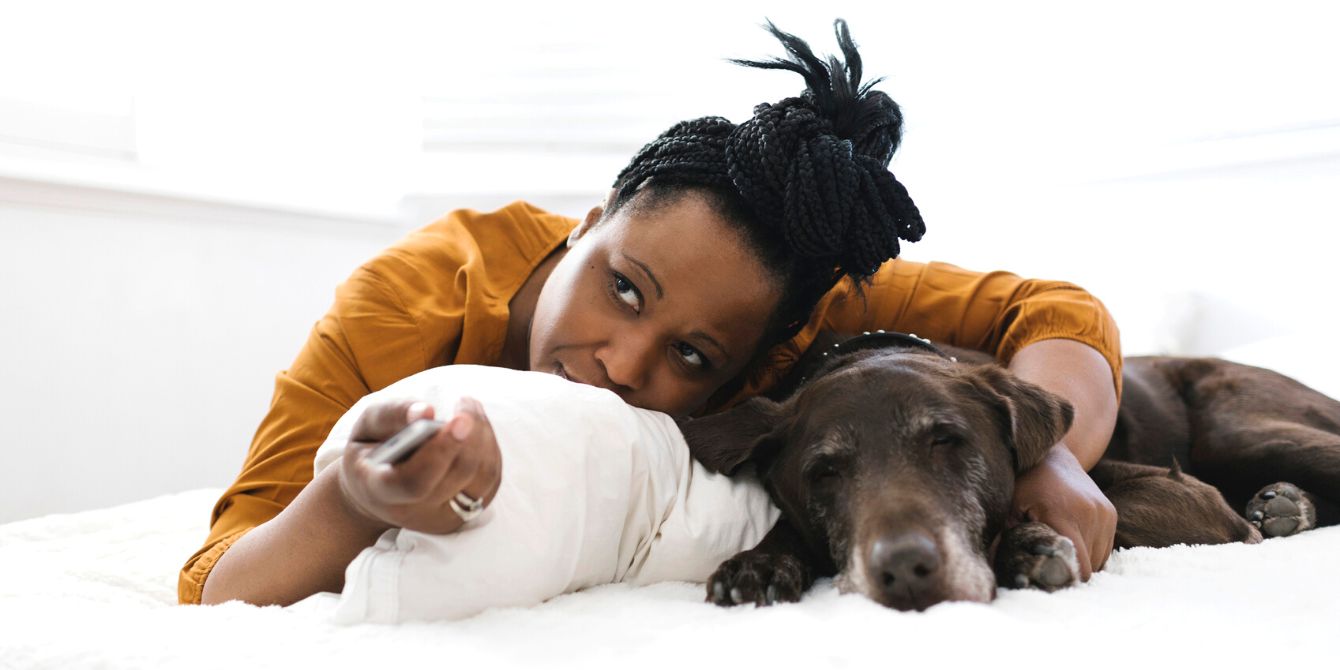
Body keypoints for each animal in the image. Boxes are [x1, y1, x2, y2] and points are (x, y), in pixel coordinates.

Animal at [686, 330, 1334, 613]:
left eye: (947, 440)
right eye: (824, 472)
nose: (906, 572)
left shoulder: (1187, 495)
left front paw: (1025, 546)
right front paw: (762, 561)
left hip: (1237, 431)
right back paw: (1284, 505)